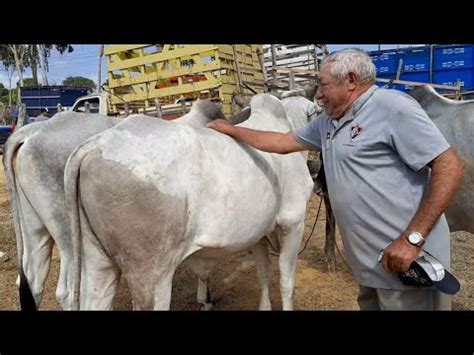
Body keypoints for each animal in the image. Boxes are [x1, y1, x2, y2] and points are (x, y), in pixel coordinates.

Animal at [64, 93, 314, 310]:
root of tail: (94, 147)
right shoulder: (293, 222)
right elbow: (286, 282)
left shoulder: (260, 235)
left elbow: (263, 276)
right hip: (150, 275)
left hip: (96, 262)